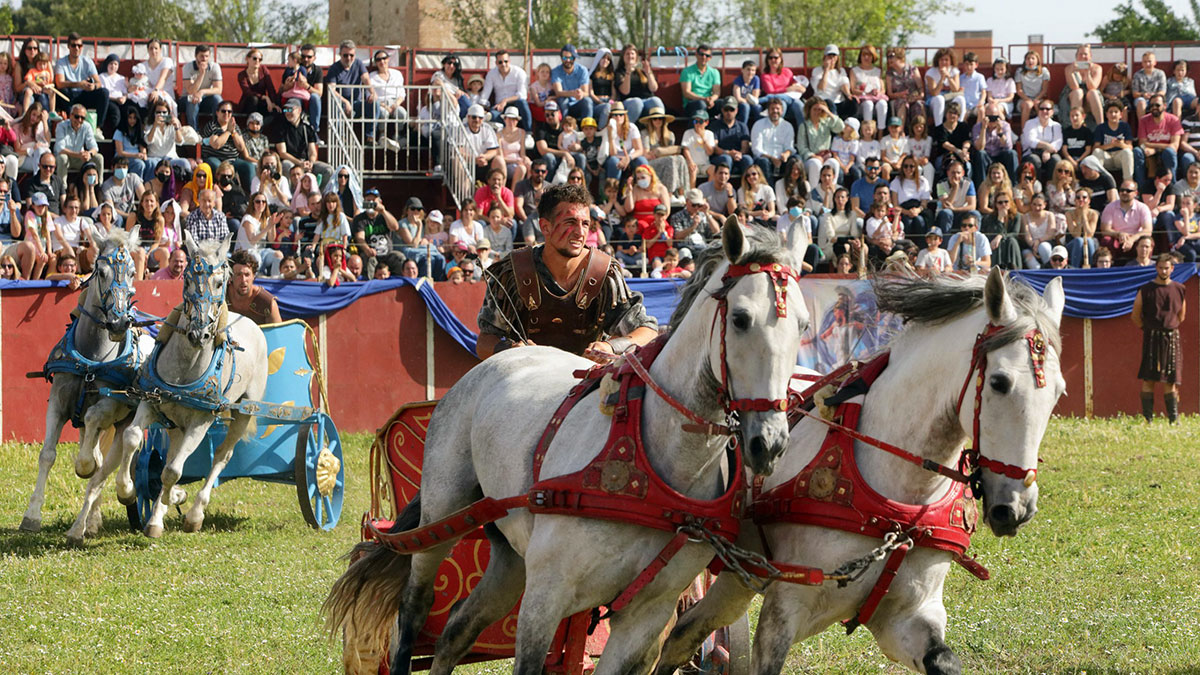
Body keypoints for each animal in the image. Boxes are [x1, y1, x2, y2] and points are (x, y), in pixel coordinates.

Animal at [20, 228, 151, 538]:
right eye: (100, 271)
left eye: (132, 272)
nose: (119, 323)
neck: (90, 359)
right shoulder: (57, 403)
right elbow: (47, 455)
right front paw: (31, 516)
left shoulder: (112, 403)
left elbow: (92, 454)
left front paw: (84, 466)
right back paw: (91, 522)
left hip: (126, 420)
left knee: (117, 460)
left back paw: (119, 495)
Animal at [113, 232, 268, 538]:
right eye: (186, 280)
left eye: (219, 283)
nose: (199, 334)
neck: (186, 364)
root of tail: (252, 324)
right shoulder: (152, 401)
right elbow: (133, 438)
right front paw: (127, 491)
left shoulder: (200, 421)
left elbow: (173, 471)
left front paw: (175, 499)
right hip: (175, 421)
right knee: (172, 454)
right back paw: (157, 517)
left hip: (243, 412)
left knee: (221, 456)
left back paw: (194, 513)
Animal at [324, 221, 810, 675]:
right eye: (740, 318)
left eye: (804, 326)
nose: (769, 442)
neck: (656, 468)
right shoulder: (547, 594)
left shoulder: (647, 615)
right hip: (442, 515)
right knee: (415, 605)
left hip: (509, 560)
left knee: (454, 633)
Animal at [654, 269, 1066, 675]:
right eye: (999, 382)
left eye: (1059, 393)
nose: (1018, 507)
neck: (898, 501)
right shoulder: (785, 607)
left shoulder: (910, 618)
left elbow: (944, 661)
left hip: (741, 576)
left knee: (684, 634)